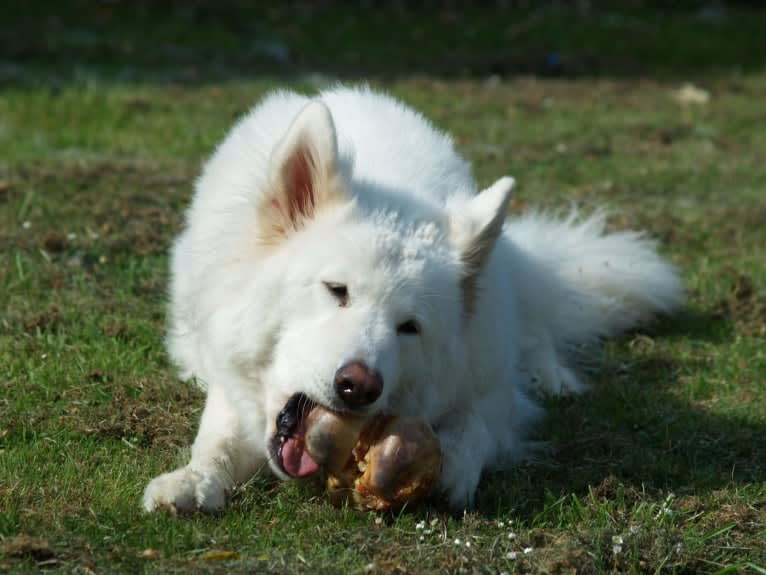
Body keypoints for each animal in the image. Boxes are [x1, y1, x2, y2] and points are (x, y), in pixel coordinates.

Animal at [144, 86, 684, 512]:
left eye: (410, 327)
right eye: (337, 291)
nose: (358, 386)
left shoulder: (487, 390)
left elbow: (476, 426)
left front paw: (453, 468)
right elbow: (219, 437)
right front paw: (193, 482)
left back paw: (552, 375)